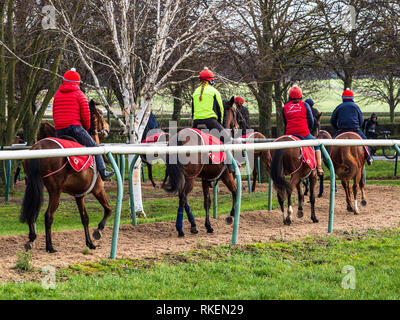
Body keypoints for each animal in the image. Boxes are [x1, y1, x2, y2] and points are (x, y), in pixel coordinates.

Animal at [21, 100, 113, 252]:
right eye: (100, 113)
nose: (107, 127)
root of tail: (38, 148)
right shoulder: (98, 189)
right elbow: (108, 209)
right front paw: (98, 231)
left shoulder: (79, 195)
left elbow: (85, 218)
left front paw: (89, 243)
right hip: (55, 191)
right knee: (48, 215)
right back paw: (49, 246)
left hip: (33, 186)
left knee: (31, 212)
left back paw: (31, 239)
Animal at [162, 97, 238, 238]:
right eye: (235, 112)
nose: (237, 126)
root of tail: (181, 138)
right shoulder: (227, 175)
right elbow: (235, 191)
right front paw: (231, 216)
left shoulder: (204, 178)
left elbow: (207, 201)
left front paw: (208, 226)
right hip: (191, 177)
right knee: (183, 198)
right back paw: (180, 229)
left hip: (182, 176)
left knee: (182, 198)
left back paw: (193, 225)